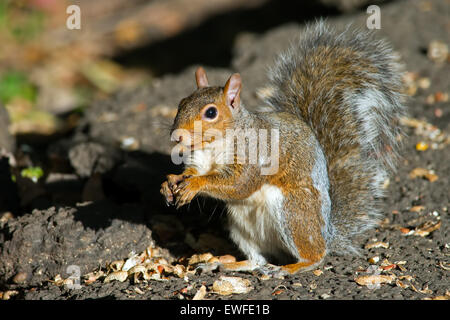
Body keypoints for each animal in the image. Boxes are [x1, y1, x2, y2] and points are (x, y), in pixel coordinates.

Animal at [160, 20, 406, 276]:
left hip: (293, 213)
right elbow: (194, 172)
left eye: (210, 112)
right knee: (257, 259)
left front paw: (194, 186)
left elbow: (239, 183)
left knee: (316, 255)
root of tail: (327, 232)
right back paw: (228, 263)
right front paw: (170, 182)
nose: (176, 134)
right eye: (181, 103)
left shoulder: (255, 152)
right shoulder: (199, 159)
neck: (214, 144)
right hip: (241, 227)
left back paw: (294, 266)